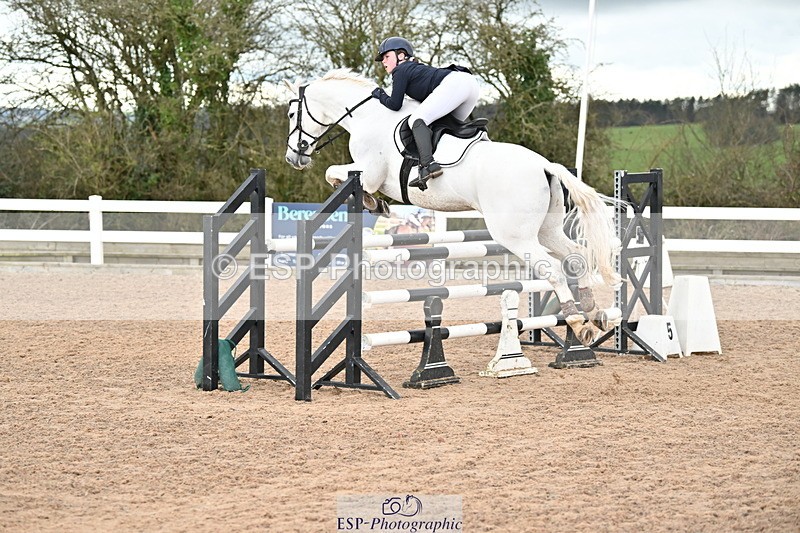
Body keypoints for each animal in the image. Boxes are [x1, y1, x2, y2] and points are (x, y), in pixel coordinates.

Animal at [284, 69, 621, 345]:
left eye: (290, 113)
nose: (293, 158)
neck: (367, 116)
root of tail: (544, 165)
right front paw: (375, 204)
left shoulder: (369, 172)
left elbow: (334, 173)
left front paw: (372, 202)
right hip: (546, 230)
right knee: (576, 256)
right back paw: (593, 312)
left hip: (515, 236)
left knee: (552, 269)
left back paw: (578, 322)